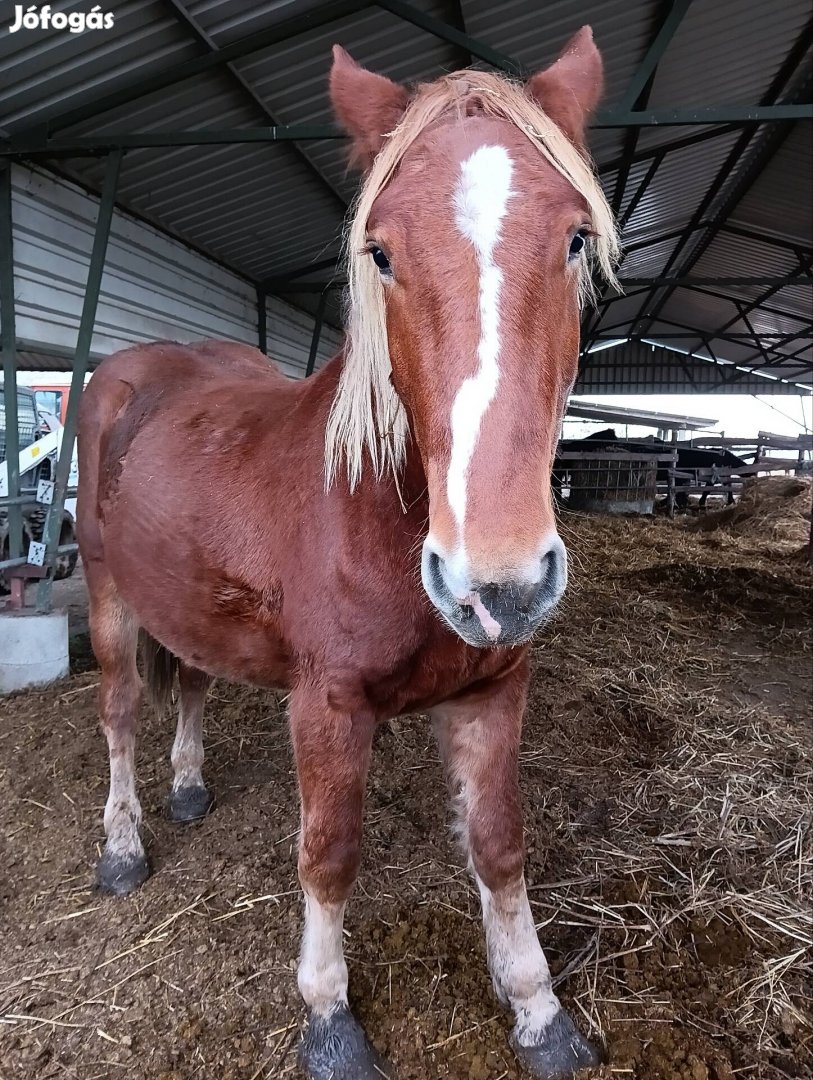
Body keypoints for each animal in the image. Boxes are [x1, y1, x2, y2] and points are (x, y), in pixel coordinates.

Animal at [79, 27, 617, 1080]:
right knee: (120, 712)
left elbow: (500, 846)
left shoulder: (494, 692)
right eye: (380, 253)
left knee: (190, 683)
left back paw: (190, 788)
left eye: (576, 237)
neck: (378, 510)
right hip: (108, 596)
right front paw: (328, 1018)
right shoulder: (325, 707)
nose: (496, 584)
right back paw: (122, 847)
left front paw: (539, 1012)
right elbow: (328, 854)